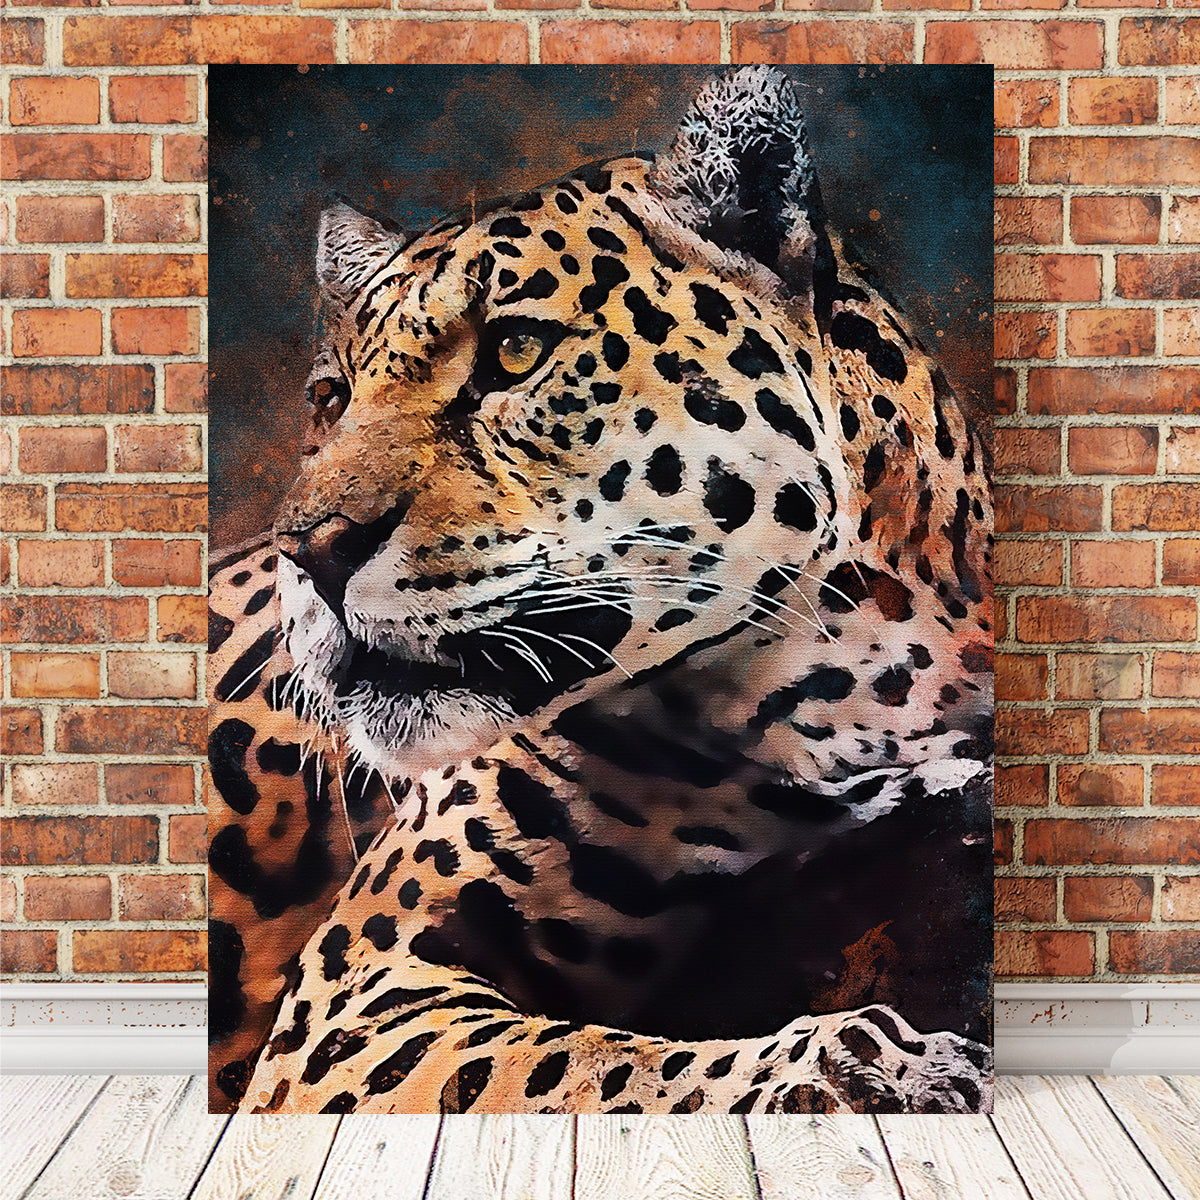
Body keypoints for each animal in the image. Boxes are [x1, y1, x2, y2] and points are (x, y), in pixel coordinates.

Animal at [207, 67, 994, 1116]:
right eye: (330, 400)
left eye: (512, 351)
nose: (311, 551)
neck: (847, 698)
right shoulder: (361, 980)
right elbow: (596, 1069)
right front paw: (871, 1070)